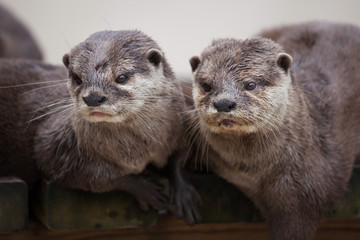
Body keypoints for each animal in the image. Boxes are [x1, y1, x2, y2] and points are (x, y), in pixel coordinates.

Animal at [0, 30, 200, 225]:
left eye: (121, 77)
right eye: (77, 78)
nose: (93, 98)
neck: (140, 150)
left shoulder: (182, 125)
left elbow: (180, 157)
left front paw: (183, 192)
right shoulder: (55, 146)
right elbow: (98, 177)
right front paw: (143, 188)